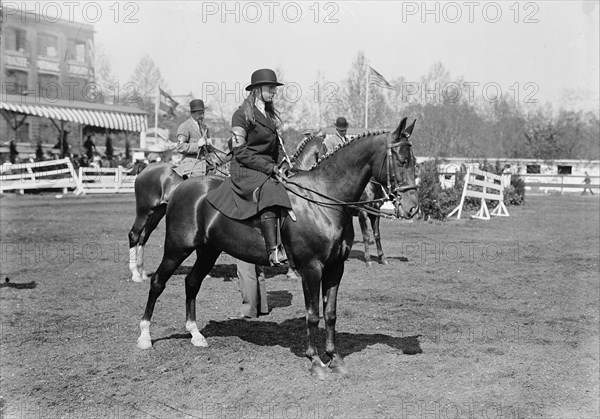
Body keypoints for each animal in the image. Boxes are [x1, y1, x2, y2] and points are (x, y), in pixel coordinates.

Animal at [135, 117, 418, 378]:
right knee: (157, 280)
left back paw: (195, 334)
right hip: (176, 248)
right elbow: (313, 314)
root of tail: (181, 186)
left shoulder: (336, 267)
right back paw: (145, 334)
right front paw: (315, 361)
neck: (322, 200)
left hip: (208, 251)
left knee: (192, 282)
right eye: (402, 160)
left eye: (415, 161)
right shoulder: (311, 268)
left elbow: (330, 313)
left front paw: (334, 358)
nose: (412, 207)